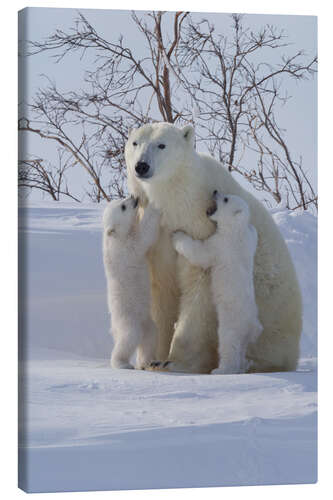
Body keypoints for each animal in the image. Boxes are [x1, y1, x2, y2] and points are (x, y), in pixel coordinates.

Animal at [103, 195, 160, 368]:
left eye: (121, 200)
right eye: (123, 207)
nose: (134, 197)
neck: (114, 237)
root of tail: (114, 328)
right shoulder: (126, 248)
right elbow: (143, 236)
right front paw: (154, 205)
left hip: (145, 320)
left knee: (151, 335)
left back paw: (149, 361)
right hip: (128, 318)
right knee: (128, 338)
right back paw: (122, 363)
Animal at [171, 192, 262, 376]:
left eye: (226, 199)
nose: (215, 191)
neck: (236, 230)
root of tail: (252, 325)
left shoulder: (220, 245)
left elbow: (201, 253)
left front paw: (177, 235)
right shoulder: (248, 239)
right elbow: (254, 233)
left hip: (232, 321)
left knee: (229, 343)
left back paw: (221, 369)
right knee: (241, 348)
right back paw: (242, 366)